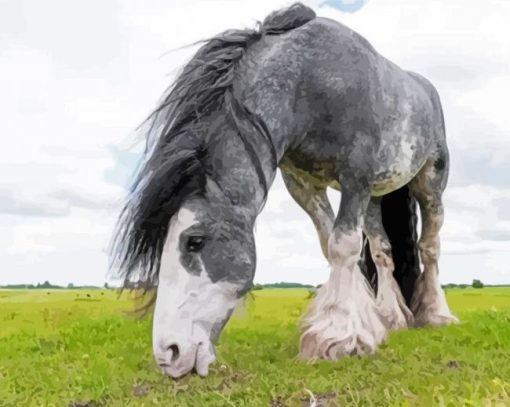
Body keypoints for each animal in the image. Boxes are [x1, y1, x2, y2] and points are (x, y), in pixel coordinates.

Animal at [111, 3, 458, 380]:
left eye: (195, 241)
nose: (168, 354)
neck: (309, 81)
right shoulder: (304, 185)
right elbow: (333, 246)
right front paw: (361, 323)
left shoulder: (356, 177)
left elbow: (344, 246)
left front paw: (335, 337)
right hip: (376, 196)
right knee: (383, 251)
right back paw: (393, 316)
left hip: (429, 184)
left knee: (430, 247)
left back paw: (436, 315)